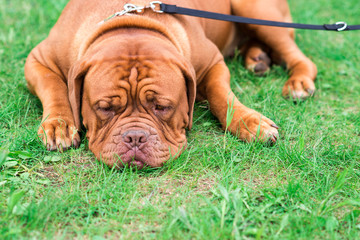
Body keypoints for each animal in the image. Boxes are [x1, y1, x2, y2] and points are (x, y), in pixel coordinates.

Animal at [25, 0, 316, 169]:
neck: (132, 22)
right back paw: (257, 58)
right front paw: (59, 125)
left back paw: (298, 81)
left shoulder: (212, 62)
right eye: (105, 108)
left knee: (295, 52)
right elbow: (54, 88)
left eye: (162, 107)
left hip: (256, 10)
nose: (135, 137)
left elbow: (222, 95)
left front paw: (250, 123)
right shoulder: (38, 59)